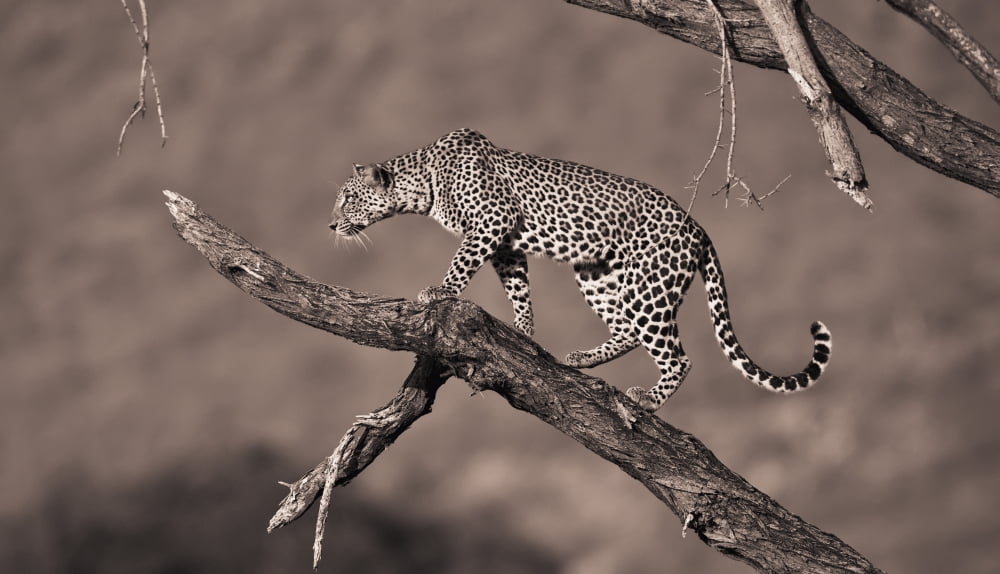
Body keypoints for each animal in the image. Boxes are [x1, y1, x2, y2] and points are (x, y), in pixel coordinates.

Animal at [329, 128, 831, 412]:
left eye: (348, 197)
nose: (331, 224)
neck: (422, 187)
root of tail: (700, 228)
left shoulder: (492, 221)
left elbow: (460, 263)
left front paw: (439, 291)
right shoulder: (506, 244)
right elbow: (518, 290)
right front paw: (524, 333)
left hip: (647, 288)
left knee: (677, 356)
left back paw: (648, 400)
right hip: (599, 276)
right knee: (628, 330)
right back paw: (583, 359)